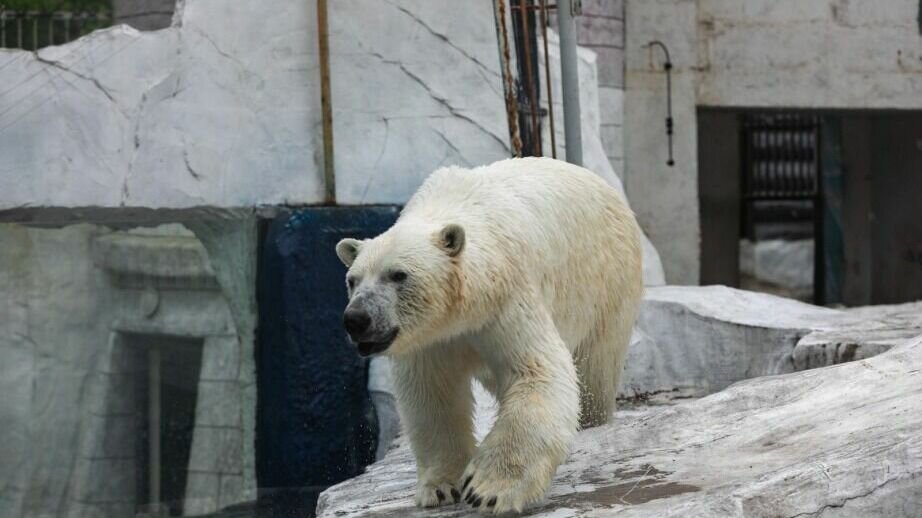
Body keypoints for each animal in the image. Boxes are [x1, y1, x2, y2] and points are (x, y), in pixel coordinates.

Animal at [334, 157, 644, 516]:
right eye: (352, 280)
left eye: (398, 275)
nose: (357, 319)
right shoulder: (432, 339)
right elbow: (432, 394)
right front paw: (440, 486)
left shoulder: (507, 299)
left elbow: (535, 372)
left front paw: (489, 489)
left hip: (607, 283)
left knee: (596, 370)